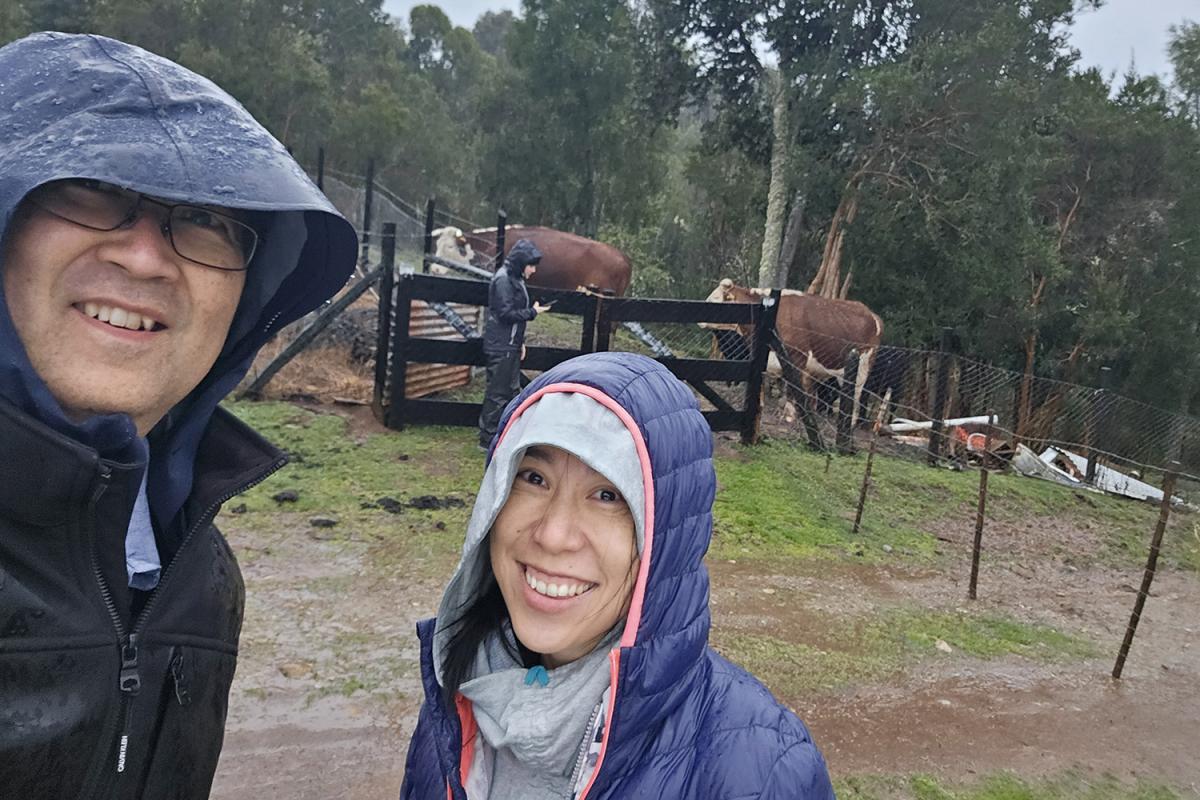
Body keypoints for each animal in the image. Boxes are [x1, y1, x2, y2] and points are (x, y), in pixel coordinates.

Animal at [700, 281, 883, 429]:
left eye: (714, 300)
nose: (700, 320)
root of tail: (873, 315)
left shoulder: (797, 358)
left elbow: (792, 388)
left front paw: (788, 416)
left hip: (863, 367)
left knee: (857, 396)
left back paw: (850, 423)